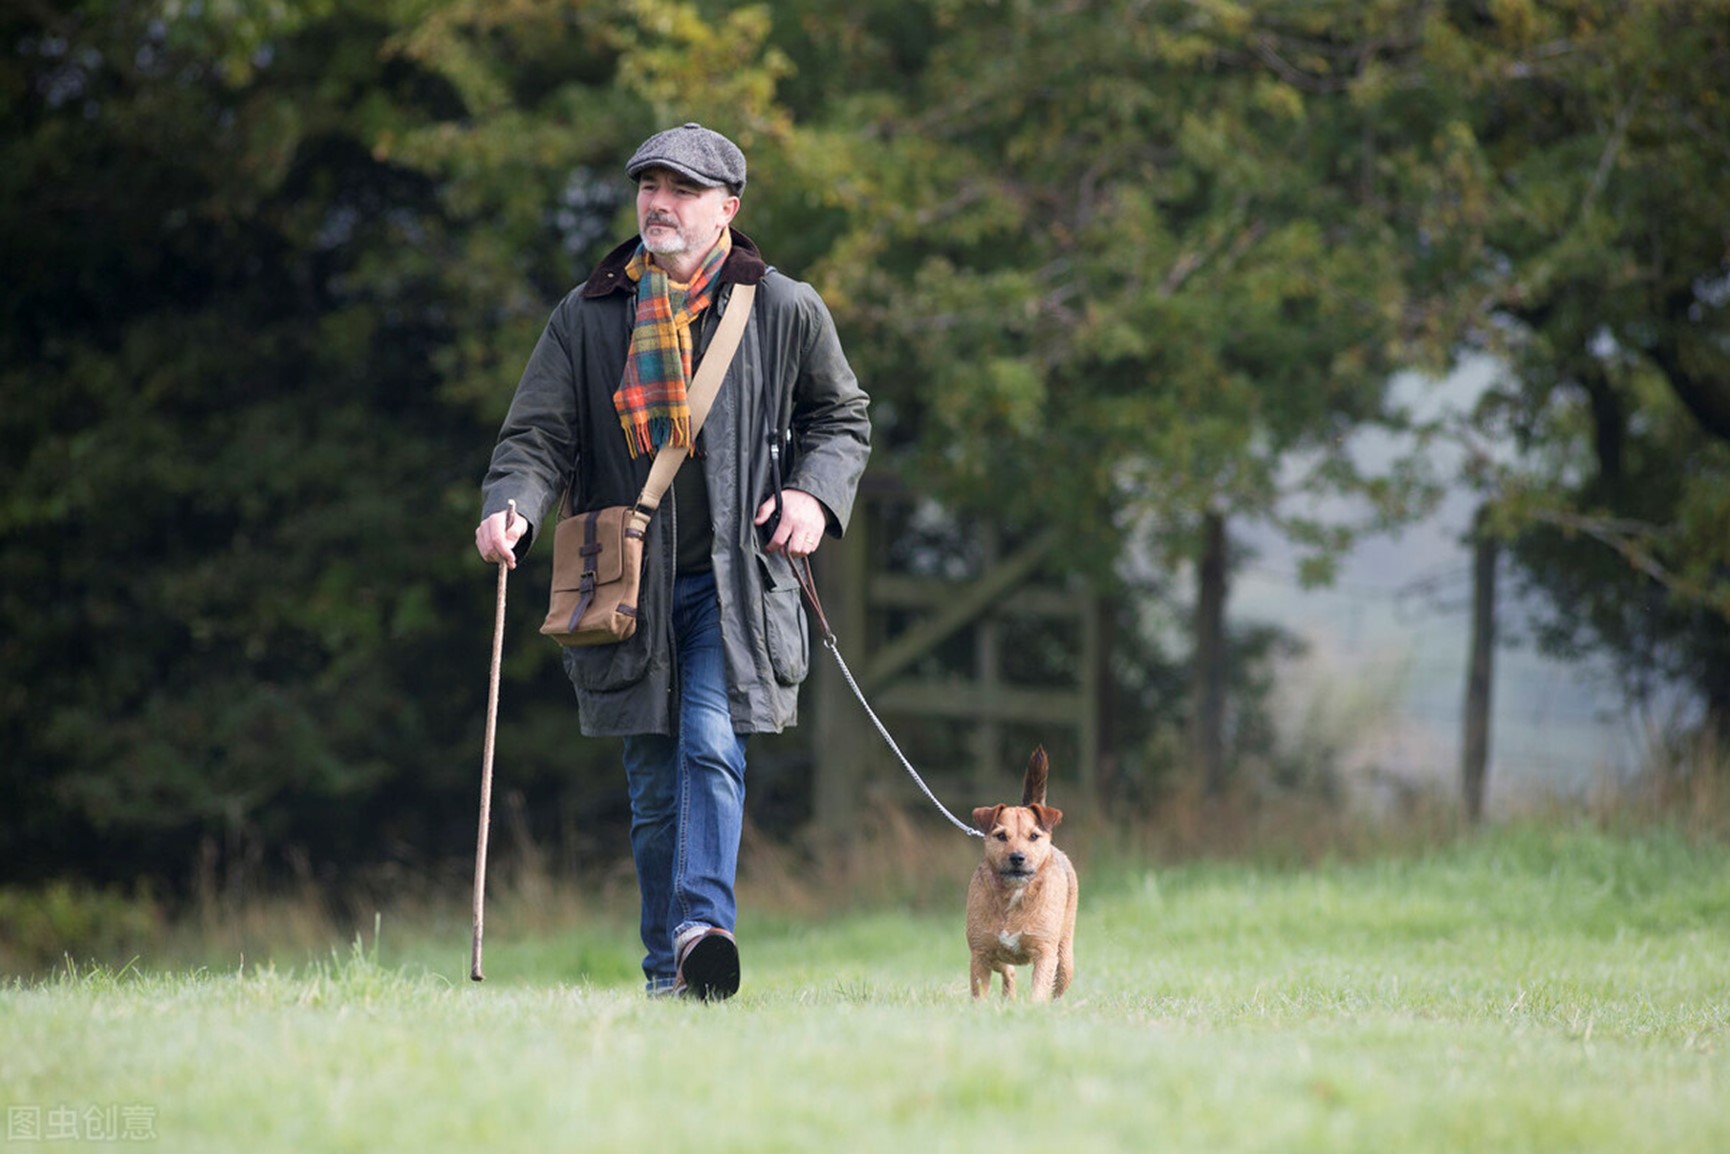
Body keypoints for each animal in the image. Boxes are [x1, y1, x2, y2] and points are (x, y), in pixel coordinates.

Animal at [968, 743, 1072, 996]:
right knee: (1009, 971)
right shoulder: (980, 953)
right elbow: (979, 992)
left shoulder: (1045, 953)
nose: (1017, 857)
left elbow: (1039, 991)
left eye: (1033, 836)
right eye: (1001, 836)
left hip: (1064, 958)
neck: (1014, 894)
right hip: (996, 956)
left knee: (1058, 986)